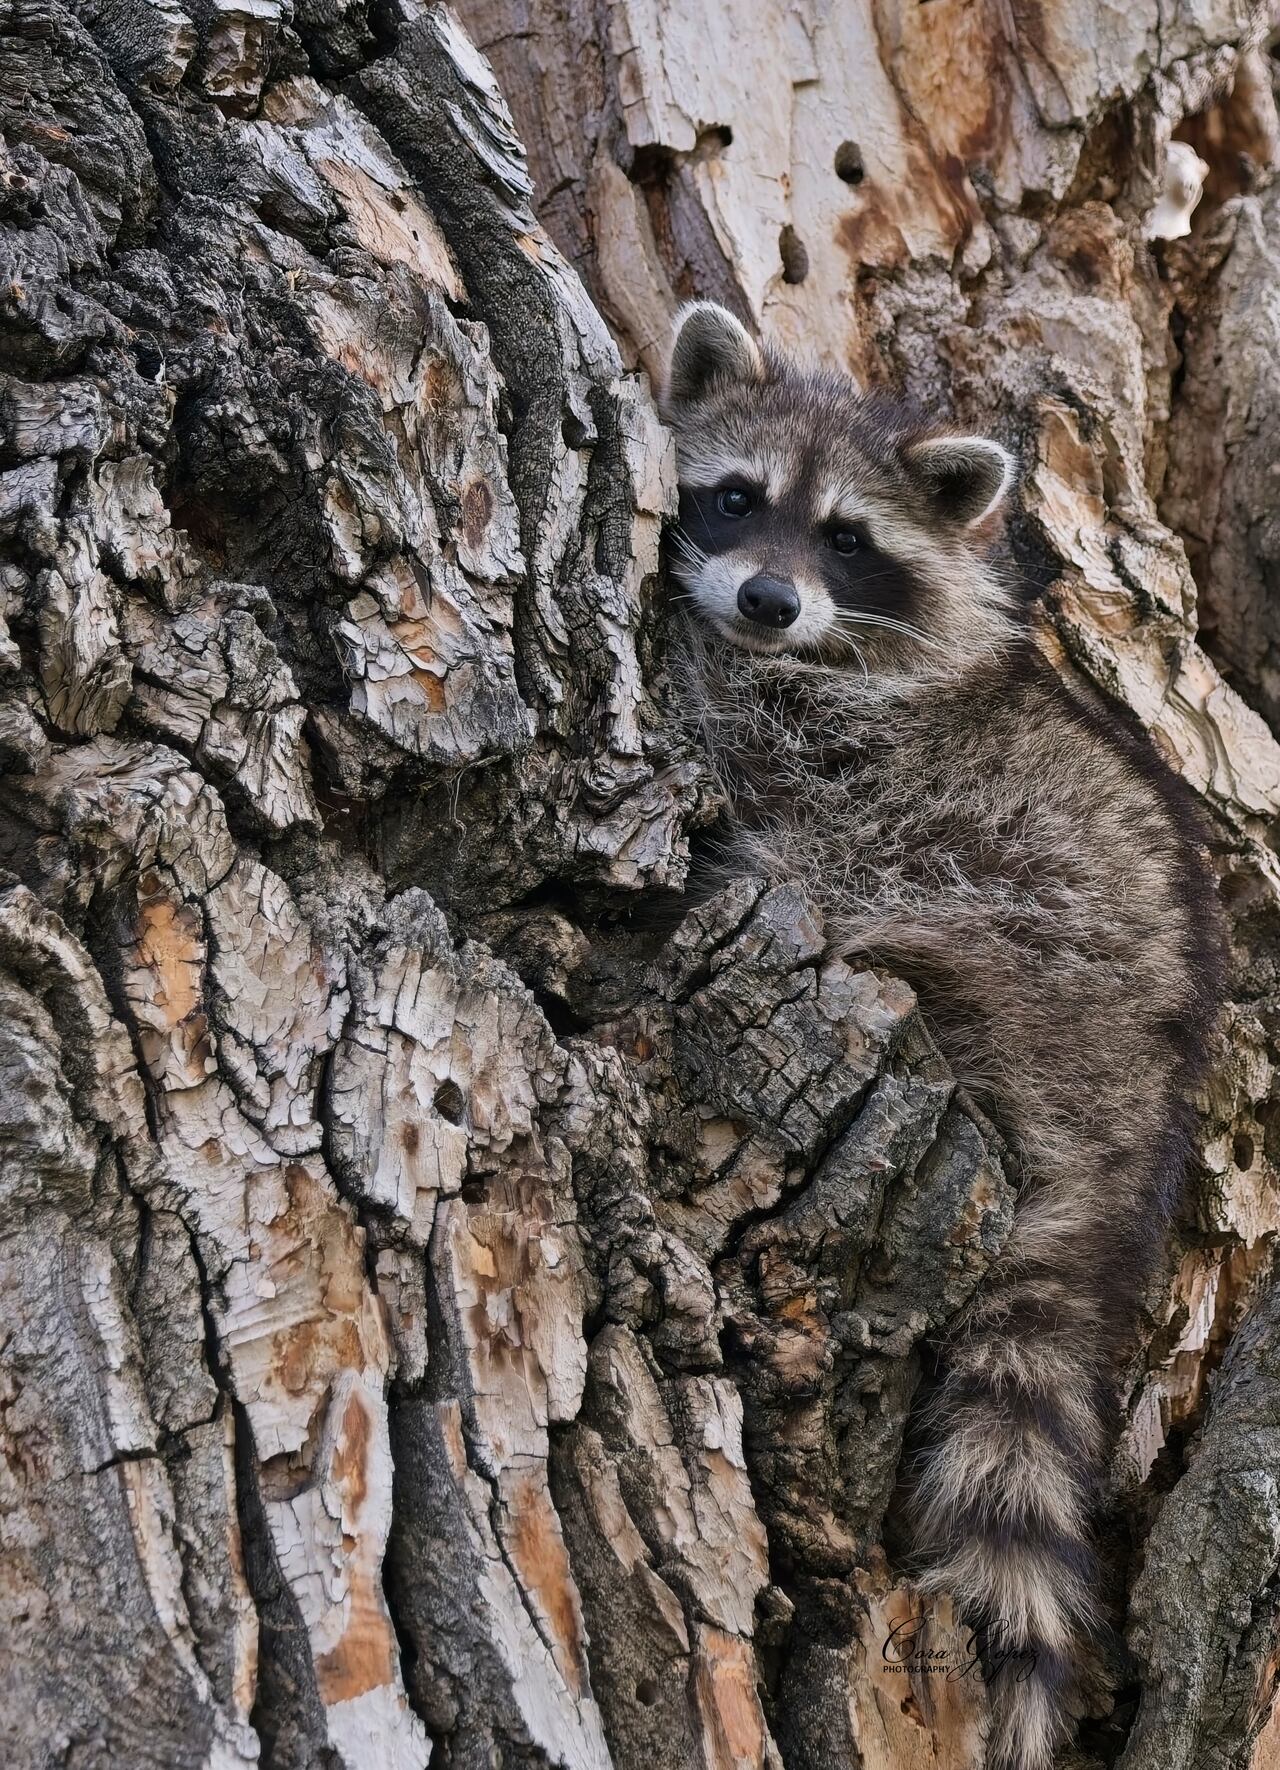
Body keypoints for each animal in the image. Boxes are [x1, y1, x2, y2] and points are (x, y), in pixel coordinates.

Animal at [661, 302, 1223, 1770]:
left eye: (849, 539)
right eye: (735, 498)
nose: (766, 600)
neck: (799, 654)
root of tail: (1134, 1106)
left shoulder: (847, 744)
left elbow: (736, 731)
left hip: (1019, 920)